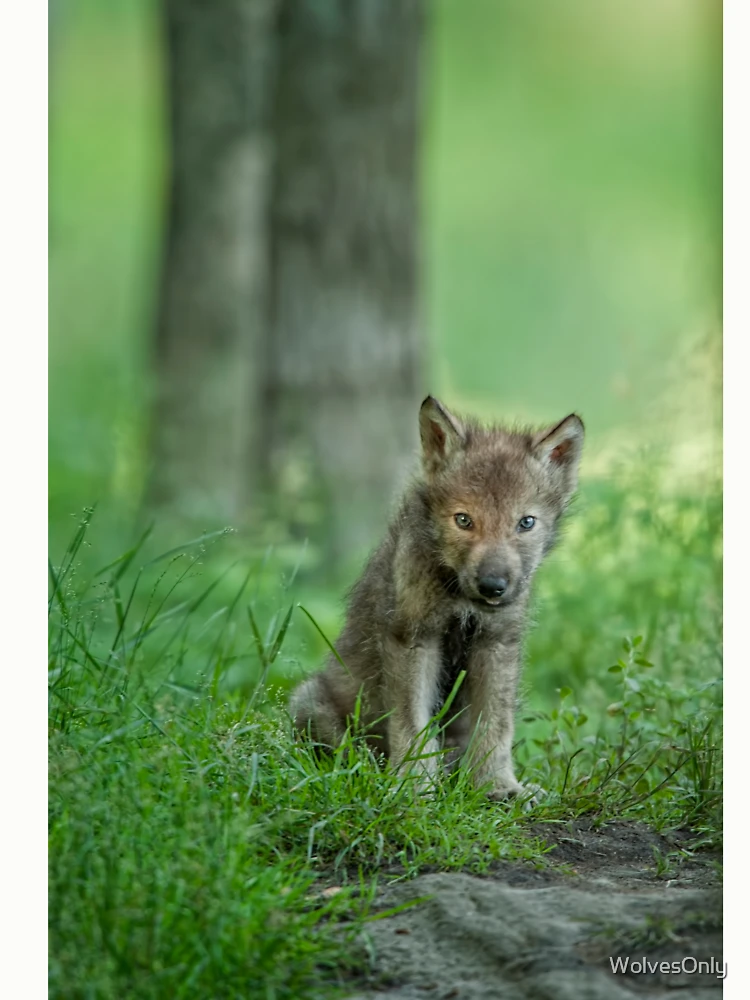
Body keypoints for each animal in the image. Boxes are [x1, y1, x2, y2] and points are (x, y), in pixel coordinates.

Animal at [289, 396, 584, 800]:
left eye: (526, 523)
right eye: (463, 520)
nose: (493, 585)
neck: (461, 598)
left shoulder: (496, 641)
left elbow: (496, 725)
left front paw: (498, 786)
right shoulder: (414, 638)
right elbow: (412, 723)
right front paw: (414, 786)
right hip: (310, 701)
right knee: (347, 752)